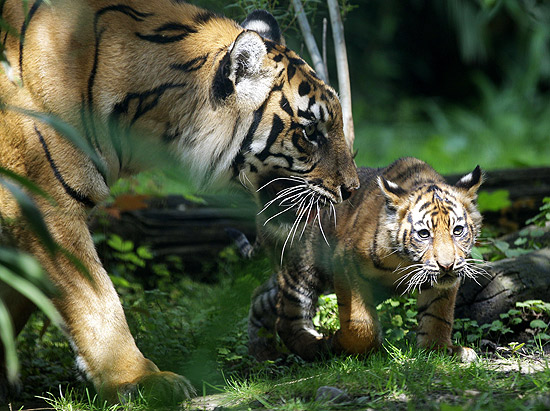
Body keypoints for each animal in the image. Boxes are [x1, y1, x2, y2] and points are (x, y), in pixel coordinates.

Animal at [248, 158, 486, 364]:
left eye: (457, 230)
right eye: (424, 234)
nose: (447, 265)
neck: (407, 262)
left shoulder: (443, 283)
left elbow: (437, 316)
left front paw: (439, 350)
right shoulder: (345, 264)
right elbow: (360, 324)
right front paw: (340, 342)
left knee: (262, 298)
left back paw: (263, 352)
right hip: (301, 268)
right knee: (286, 319)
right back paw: (315, 346)